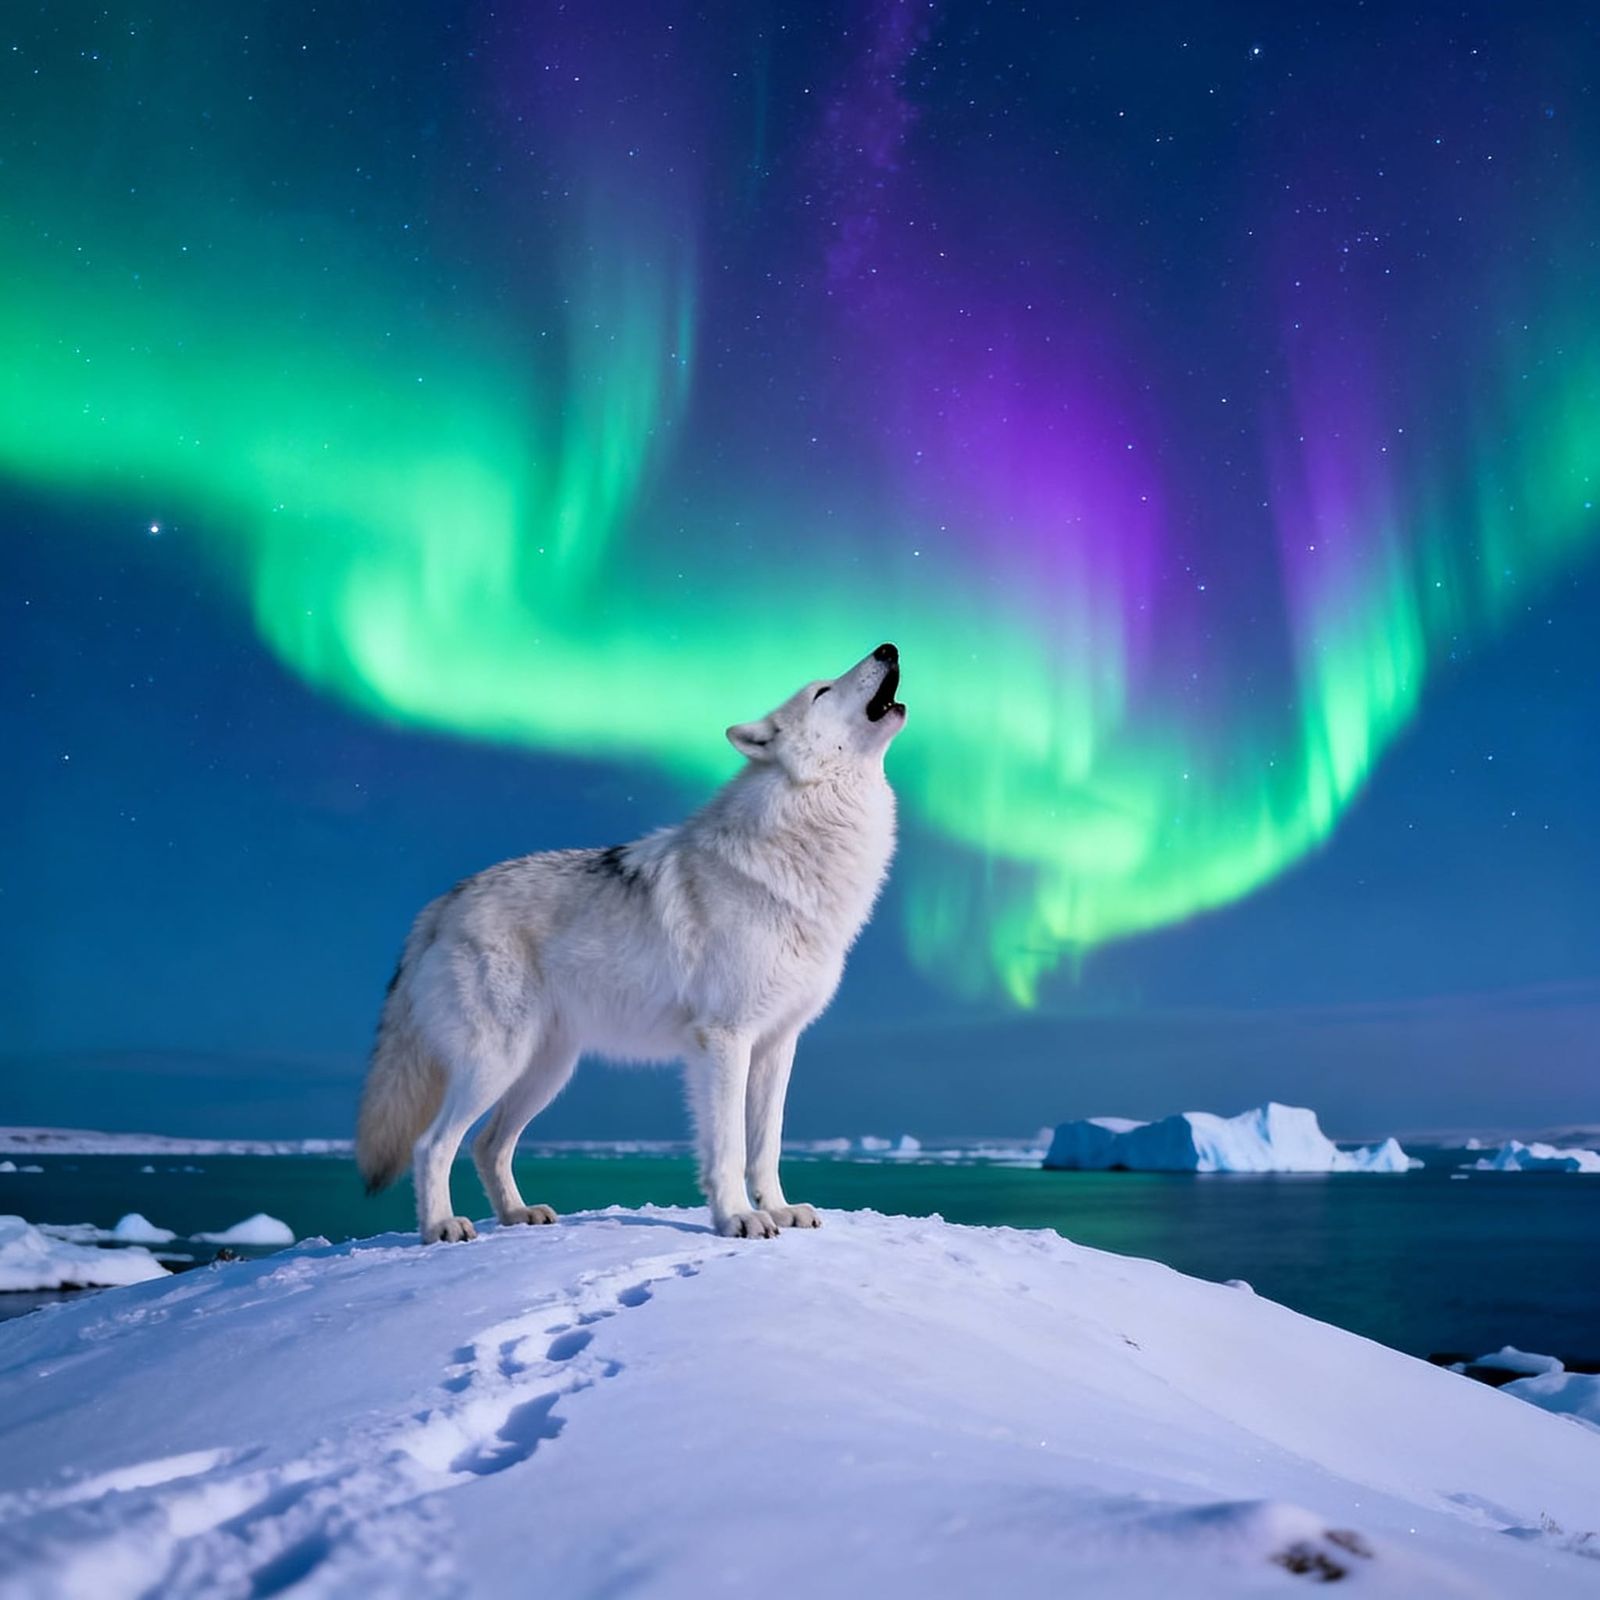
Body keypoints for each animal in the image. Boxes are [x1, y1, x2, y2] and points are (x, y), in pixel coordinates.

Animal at [355, 643, 906, 1243]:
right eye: (822, 692)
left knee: (487, 1144)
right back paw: (441, 1226)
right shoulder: (725, 1040)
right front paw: (738, 1217)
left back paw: (518, 1215)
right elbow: (730, 1148)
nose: (888, 649)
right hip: (496, 1063)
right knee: (432, 1145)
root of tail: (439, 907)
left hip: (545, 1072)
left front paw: (780, 1210)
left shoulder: (778, 1044)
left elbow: (767, 1145)